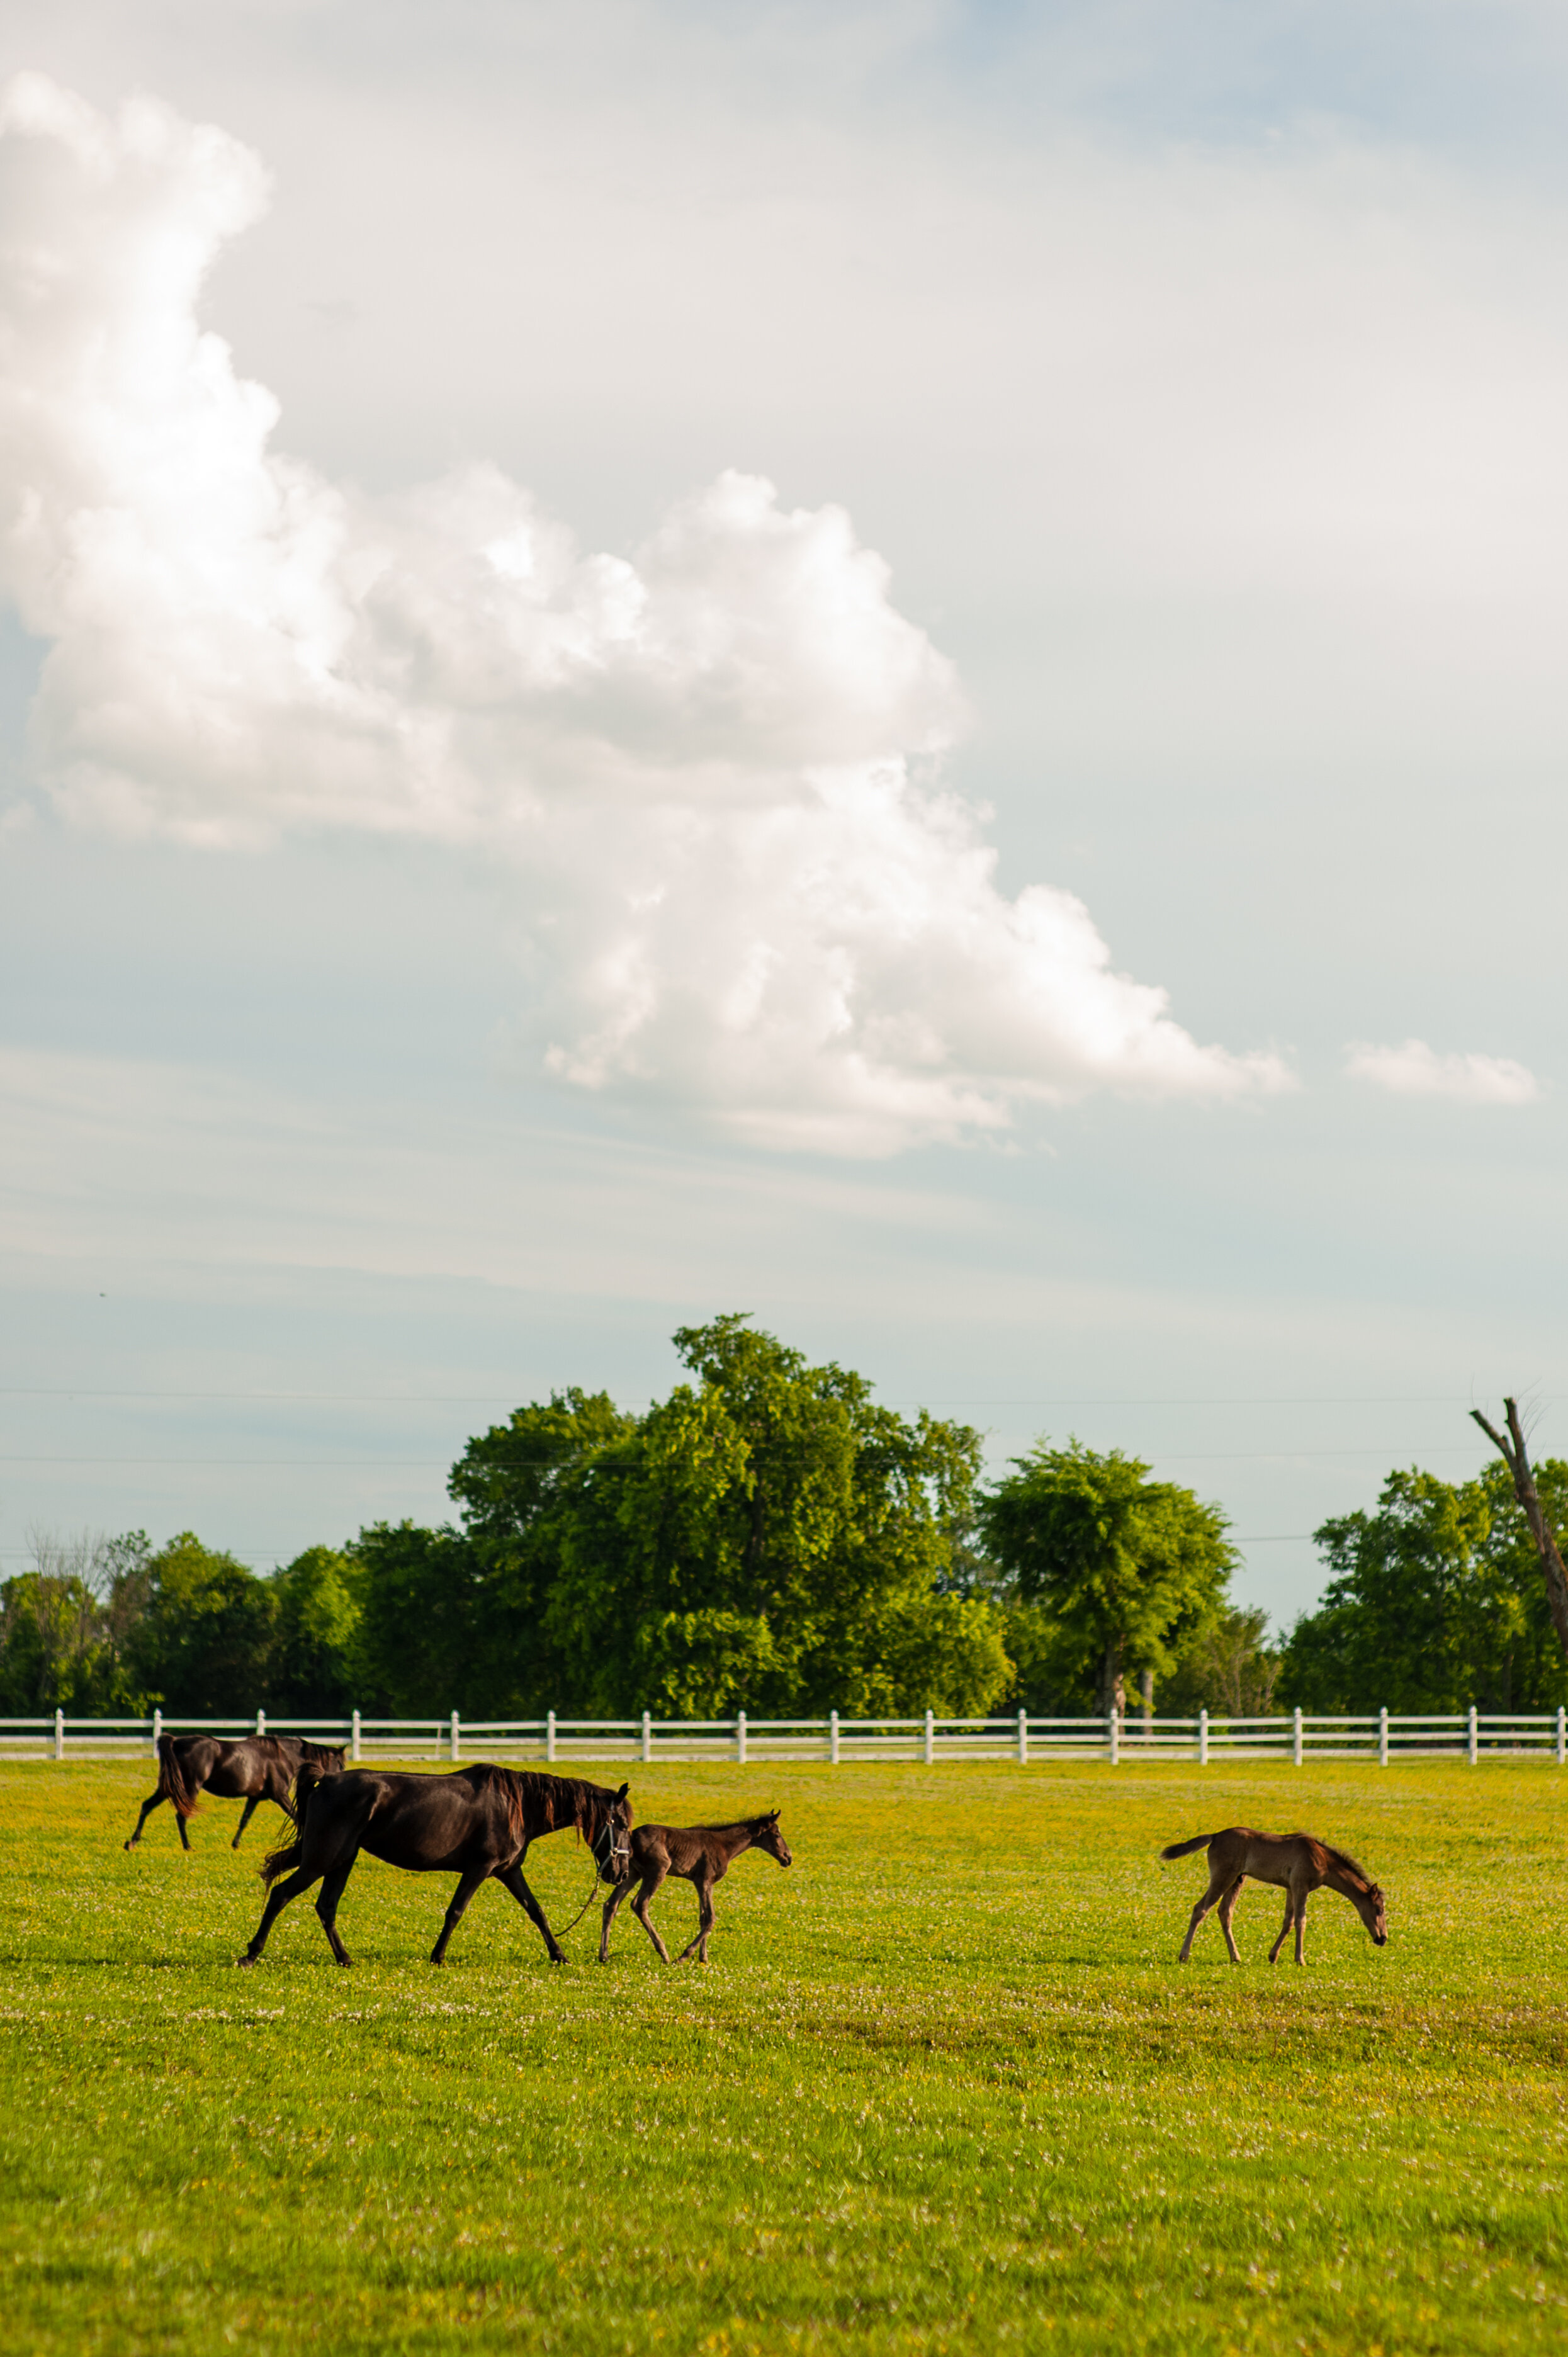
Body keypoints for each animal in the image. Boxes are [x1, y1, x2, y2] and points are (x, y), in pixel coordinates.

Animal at [122, 1734, 346, 1857]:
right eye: (341, 1764)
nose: (341, 1781)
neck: (283, 1757)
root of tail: (176, 1741)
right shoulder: (280, 1795)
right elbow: (297, 1817)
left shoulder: (255, 1798)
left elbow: (244, 1820)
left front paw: (235, 1844)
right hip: (190, 1787)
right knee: (181, 1816)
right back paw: (188, 1846)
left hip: (169, 1787)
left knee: (147, 1806)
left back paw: (132, 1842)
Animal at [238, 1772, 631, 1970]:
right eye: (623, 1823)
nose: (622, 1873)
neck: (517, 1803)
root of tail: (327, 1780)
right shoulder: (480, 1868)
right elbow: (455, 1911)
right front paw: (438, 1957)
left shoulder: (509, 1871)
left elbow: (537, 1912)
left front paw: (559, 1955)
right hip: (321, 1860)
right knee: (281, 1895)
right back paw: (251, 1954)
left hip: (341, 1861)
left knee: (326, 1907)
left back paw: (345, 1959)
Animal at [599, 1810, 797, 1961]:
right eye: (777, 1835)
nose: (788, 1858)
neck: (725, 1847)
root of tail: (631, 1838)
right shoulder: (705, 1880)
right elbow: (710, 1918)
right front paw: (684, 1956)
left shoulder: (701, 1882)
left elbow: (702, 1917)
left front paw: (703, 1958)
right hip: (657, 1871)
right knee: (639, 1904)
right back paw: (664, 1954)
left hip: (632, 1872)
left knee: (611, 1904)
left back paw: (604, 1955)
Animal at [1155, 1819, 1386, 1970]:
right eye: (1379, 1909)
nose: (1382, 1939)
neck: (1322, 1859)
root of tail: (1215, 1836)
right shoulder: (1300, 1886)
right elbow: (1301, 1921)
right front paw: (1300, 1959)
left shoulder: (1290, 1888)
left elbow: (1288, 1922)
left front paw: (1273, 1956)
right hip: (1223, 1876)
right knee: (1201, 1909)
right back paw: (1184, 1956)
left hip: (1238, 1879)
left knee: (1225, 1912)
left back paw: (1235, 1957)